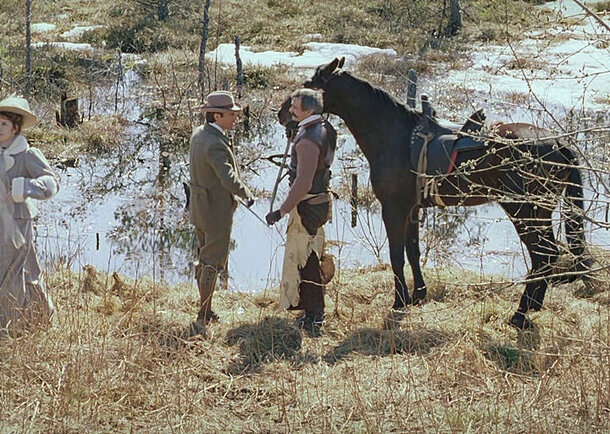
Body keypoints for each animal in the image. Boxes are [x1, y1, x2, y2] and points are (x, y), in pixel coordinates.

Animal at [280, 58, 588, 328]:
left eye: (308, 84)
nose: (283, 113)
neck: (393, 136)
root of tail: (559, 144)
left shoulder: (393, 209)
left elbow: (396, 255)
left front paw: (399, 300)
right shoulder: (412, 210)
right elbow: (413, 251)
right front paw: (418, 294)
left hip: (524, 211)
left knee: (543, 256)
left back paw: (520, 315)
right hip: (539, 211)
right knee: (547, 255)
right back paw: (533, 306)